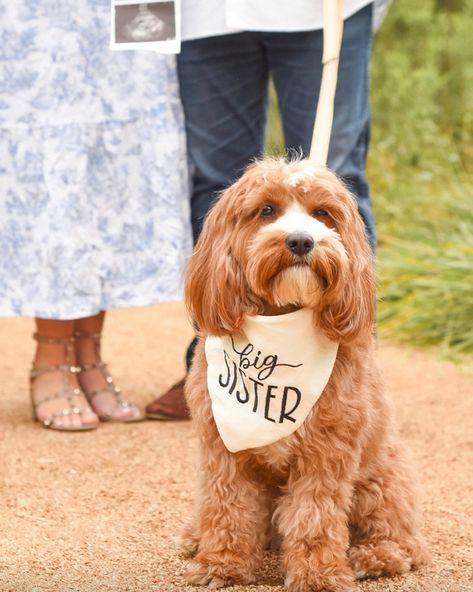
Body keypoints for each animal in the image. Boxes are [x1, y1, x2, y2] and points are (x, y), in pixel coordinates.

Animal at [180, 158, 428, 592]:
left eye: (322, 213)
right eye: (266, 210)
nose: (300, 241)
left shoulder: (326, 453)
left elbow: (315, 517)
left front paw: (318, 575)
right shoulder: (223, 451)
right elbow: (228, 508)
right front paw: (221, 564)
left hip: (381, 479)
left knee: (405, 542)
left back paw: (376, 556)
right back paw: (197, 537)